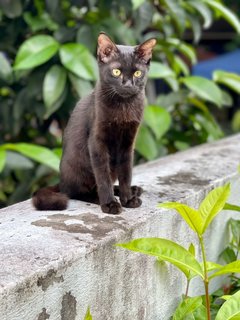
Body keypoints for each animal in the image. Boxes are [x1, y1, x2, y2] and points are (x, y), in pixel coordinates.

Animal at [32, 32, 157, 215]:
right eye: (116, 72)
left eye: (137, 73)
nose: (128, 85)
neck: (123, 107)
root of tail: (61, 181)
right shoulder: (97, 142)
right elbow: (103, 177)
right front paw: (110, 204)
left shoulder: (128, 142)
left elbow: (126, 173)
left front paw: (127, 199)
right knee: (78, 192)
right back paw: (100, 198)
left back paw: (132, 190)